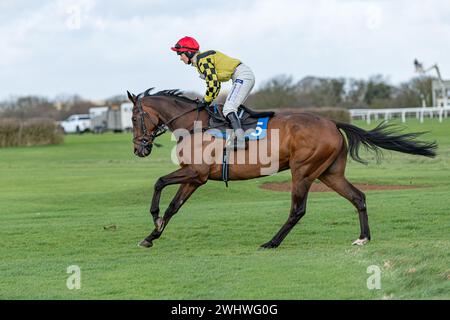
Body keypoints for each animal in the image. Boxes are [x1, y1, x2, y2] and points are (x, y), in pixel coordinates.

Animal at [126, 88, 436, 250]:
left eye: (134, 117)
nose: (139, 149)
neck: (194, 124)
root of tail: (332, 122)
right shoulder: (194, 178)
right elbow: (173, 207)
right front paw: (152, 235)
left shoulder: (196, 173)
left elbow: (158, 182)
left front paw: (153, 218)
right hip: (330, 173)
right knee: (358, 197)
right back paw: (363, 237)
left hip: (303, 171)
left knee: (297, 210)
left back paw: (271, 242)